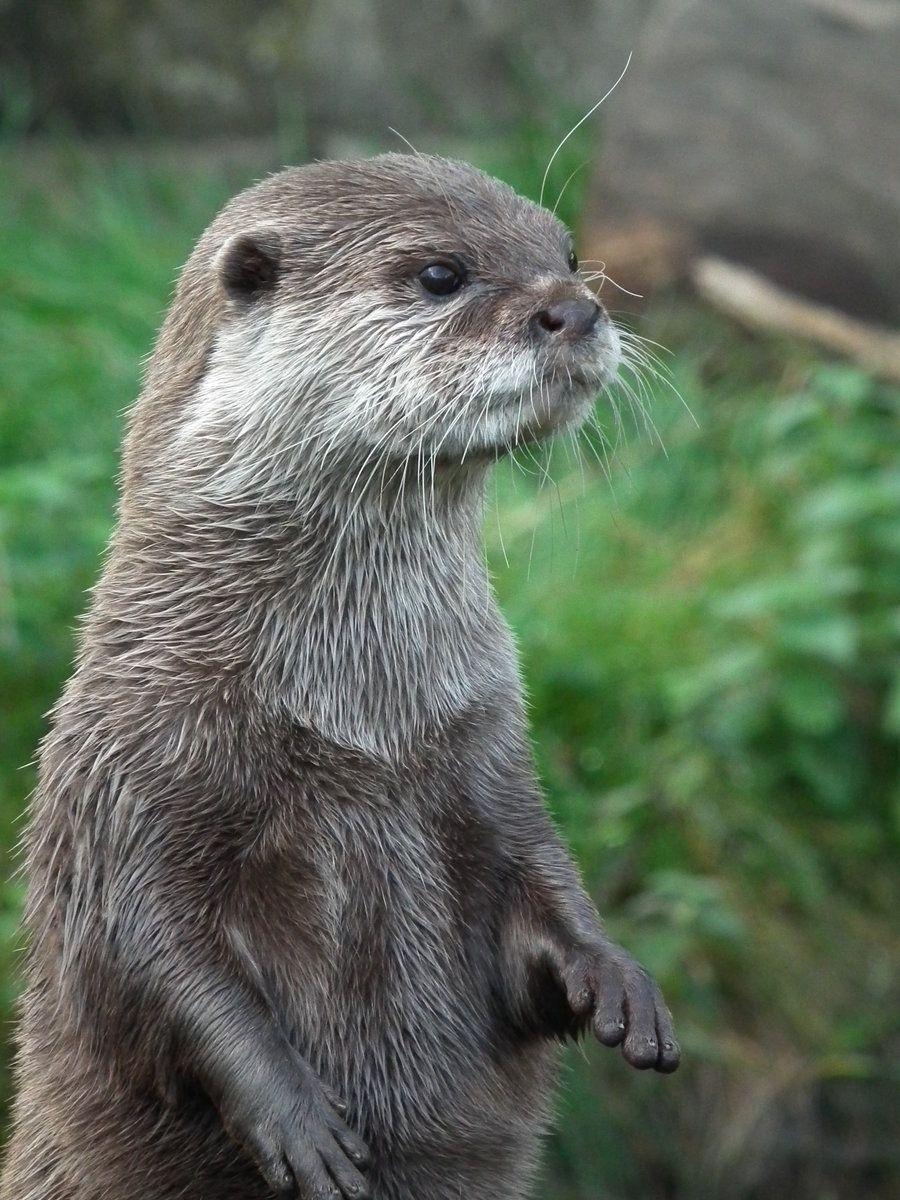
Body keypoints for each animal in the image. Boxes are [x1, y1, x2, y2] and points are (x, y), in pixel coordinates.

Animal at [1, 154, 679, 1200]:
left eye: (568, 255)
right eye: (441, 274)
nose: (575, 308)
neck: (360, 718)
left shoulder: (488, 754)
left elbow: (543, 883)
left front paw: (616, 976)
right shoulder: (125, 782)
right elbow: (153, 959)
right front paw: (296, 1116)